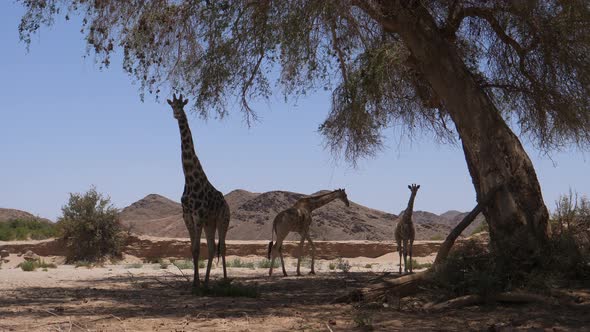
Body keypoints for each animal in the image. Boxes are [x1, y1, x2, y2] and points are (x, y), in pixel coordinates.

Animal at [169, 93, 231, 288]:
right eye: (172, 105)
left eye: (182, 105)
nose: (176, 114)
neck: (189, 179)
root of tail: (227, 204)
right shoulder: (187, 216)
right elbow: (193, 249)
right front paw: (195, 283)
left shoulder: (198, 216)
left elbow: (197, 249)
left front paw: (197, 284)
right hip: (210, 223)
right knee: (211, 248)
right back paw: (206, 281)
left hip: (223, 220)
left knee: (222, 247)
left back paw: (225, 280)